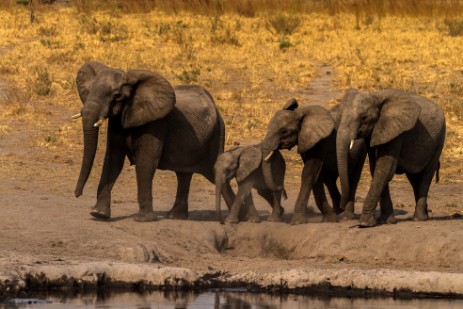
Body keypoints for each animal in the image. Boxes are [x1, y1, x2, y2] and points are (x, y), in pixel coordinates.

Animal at [74, 60, 234, 220]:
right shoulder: (117, 122)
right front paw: (98, 214)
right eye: (89, 90)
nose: (77, 194)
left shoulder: (155, 124)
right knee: (184, 174)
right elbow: (113, 161)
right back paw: (176, 216)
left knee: (216, 173)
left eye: (117, 96)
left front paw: (143, 219)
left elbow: (145, 161)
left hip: (216, 135)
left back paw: (238, 218)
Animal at [338, 88, 446, 226]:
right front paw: (387, 221)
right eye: (340, 116)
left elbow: (385, 168)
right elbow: (376, 168)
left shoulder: (395, 132)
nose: (340, 207)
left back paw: (419, 218)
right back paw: (425, 215)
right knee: (414, 177)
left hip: (439, 138)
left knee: (427, 174)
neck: (376, 96)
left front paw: (365, 224)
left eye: (364, 117)